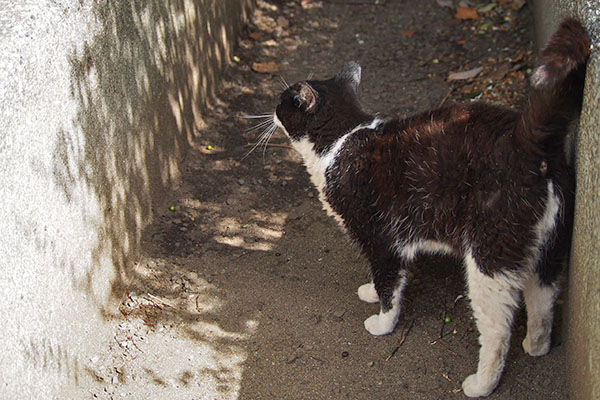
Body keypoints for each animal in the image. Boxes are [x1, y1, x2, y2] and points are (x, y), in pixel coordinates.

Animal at [251, 18, 588, 396]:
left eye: (284, 103)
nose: (271, 109)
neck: (339, 141)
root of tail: (530, 141)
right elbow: (383, 279)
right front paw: (370, 292)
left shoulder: (381, 238)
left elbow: (389, 284)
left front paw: (382, 323)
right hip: (549, 250)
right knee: (544, 299)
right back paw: (536, 345)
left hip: (490, 259)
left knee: (498, 332)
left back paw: (481, 383)